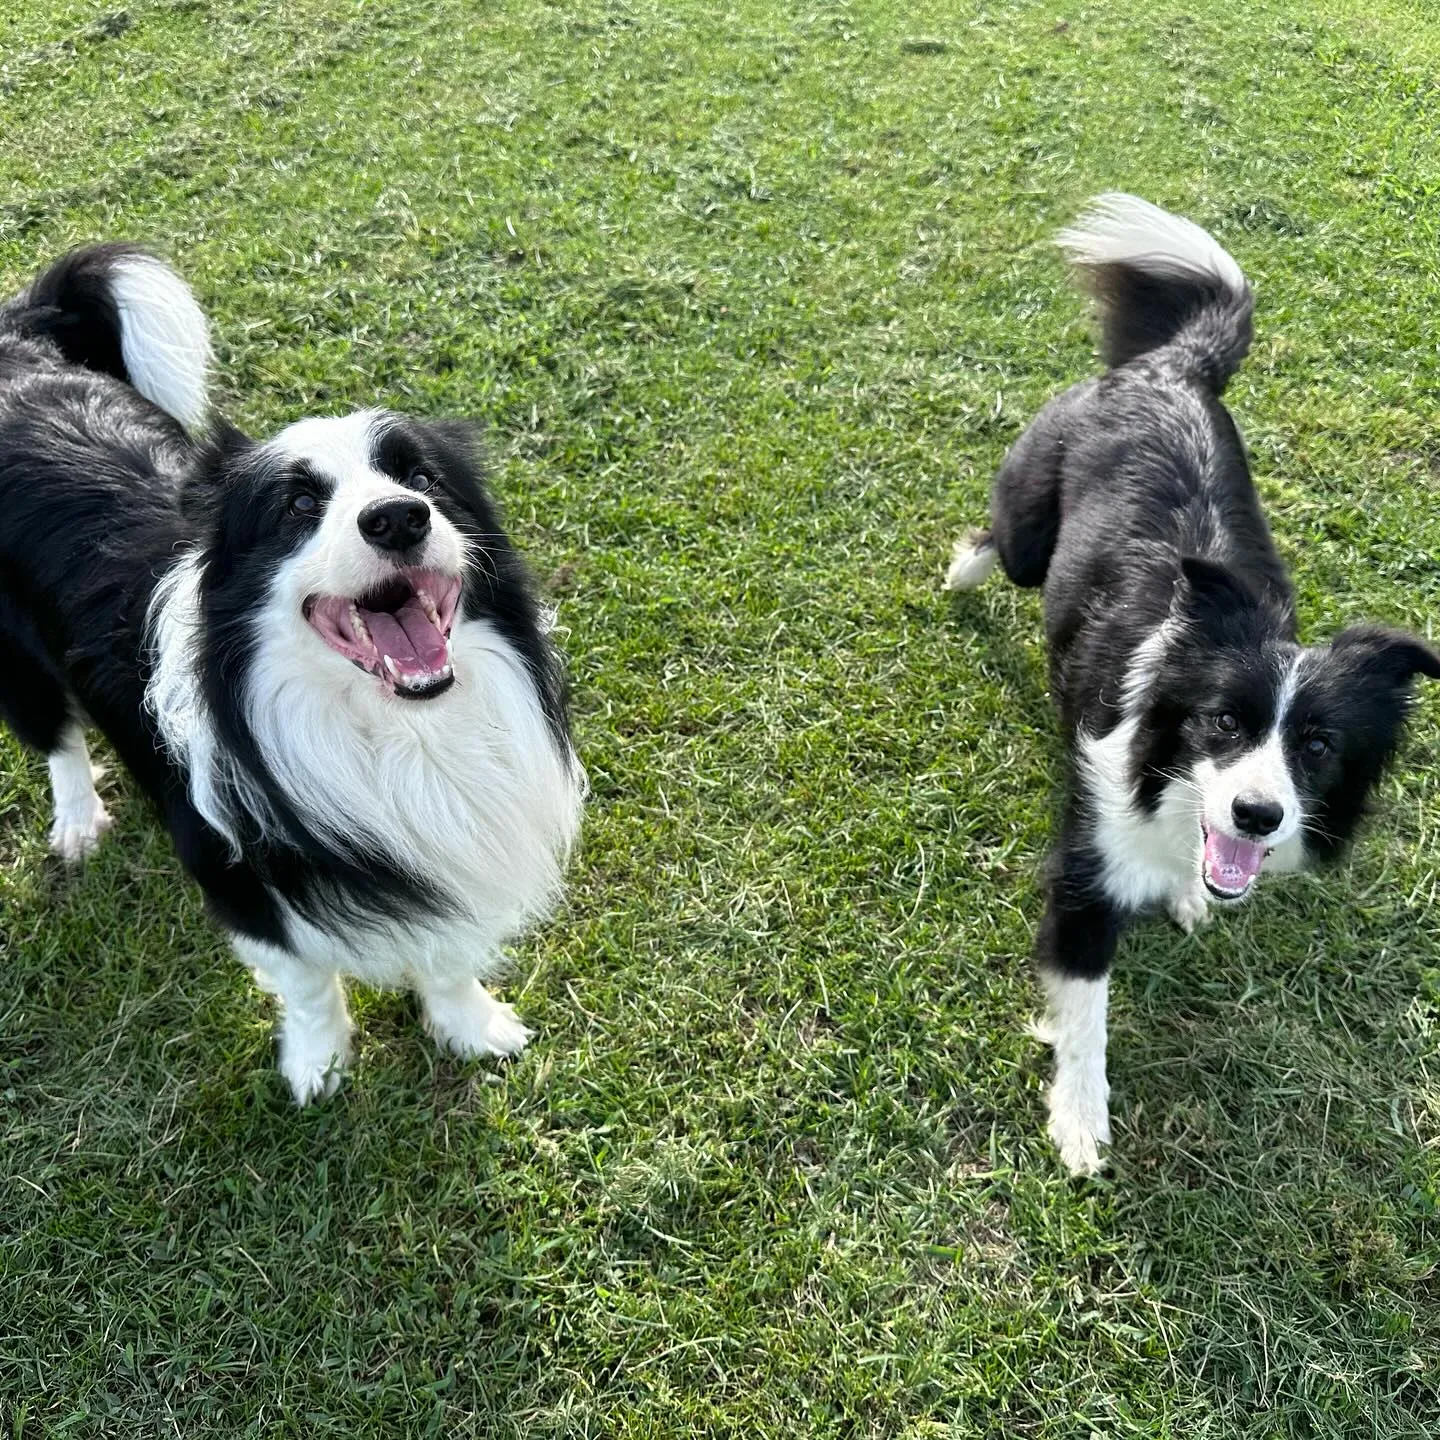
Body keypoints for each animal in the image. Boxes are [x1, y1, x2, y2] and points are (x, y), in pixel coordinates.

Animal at [1, 244, 584, 1100]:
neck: (398, 731)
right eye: (299, 506)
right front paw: (319, 1066)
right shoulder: (247, 885)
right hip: (16, 665)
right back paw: (78, 822)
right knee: (56, 739)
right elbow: (309, 985)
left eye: (423, 479)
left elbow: (447, 954)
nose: (398, 518)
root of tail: (18, 345)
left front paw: (470, 1026)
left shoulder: (455, 848)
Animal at [950, 197, 1434, 1175]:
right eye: (1222, 723)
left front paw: (1190, 891)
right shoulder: (1085, 876)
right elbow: (1086, 1013)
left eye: (1317, 747)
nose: (1259, 815)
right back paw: (958, 571)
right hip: (1029, 530)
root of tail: (1170, 364)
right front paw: (1080, 1124)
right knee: (999, 537)